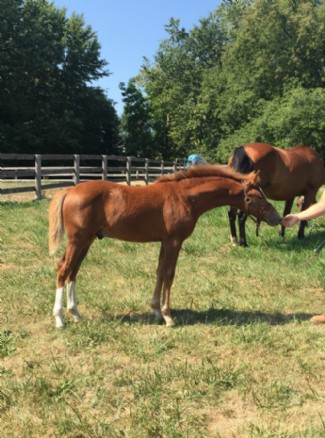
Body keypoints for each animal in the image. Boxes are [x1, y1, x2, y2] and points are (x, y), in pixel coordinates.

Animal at [48, 166, 280, 326]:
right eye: (257, 195)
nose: (276, 218)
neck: (186, 197)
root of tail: (69, 190)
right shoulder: (174, 241)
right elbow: (169, 274)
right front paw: (168, 316)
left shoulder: (164, 241)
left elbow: (159, 272)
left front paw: (156, 311)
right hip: (78, 240)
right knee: (63, 269)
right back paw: (59, 319)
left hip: (86, 241)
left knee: (73, 271)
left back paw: (75, 314)